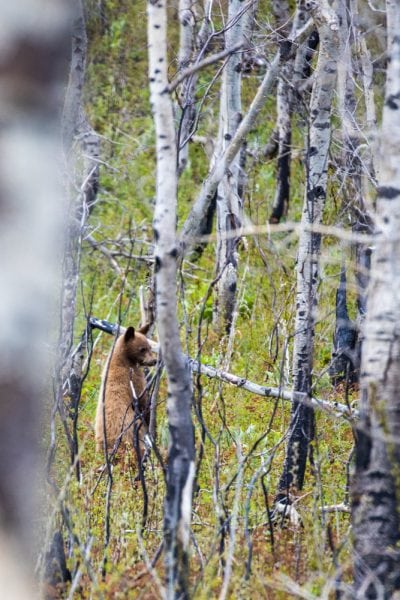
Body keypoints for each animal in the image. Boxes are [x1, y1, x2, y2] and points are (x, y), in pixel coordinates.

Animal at [94, 326, 156, 458]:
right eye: (142, 349)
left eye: (149, 347)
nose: (153, 361)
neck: (123, 360)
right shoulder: (134, 380)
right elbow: (143, 403)